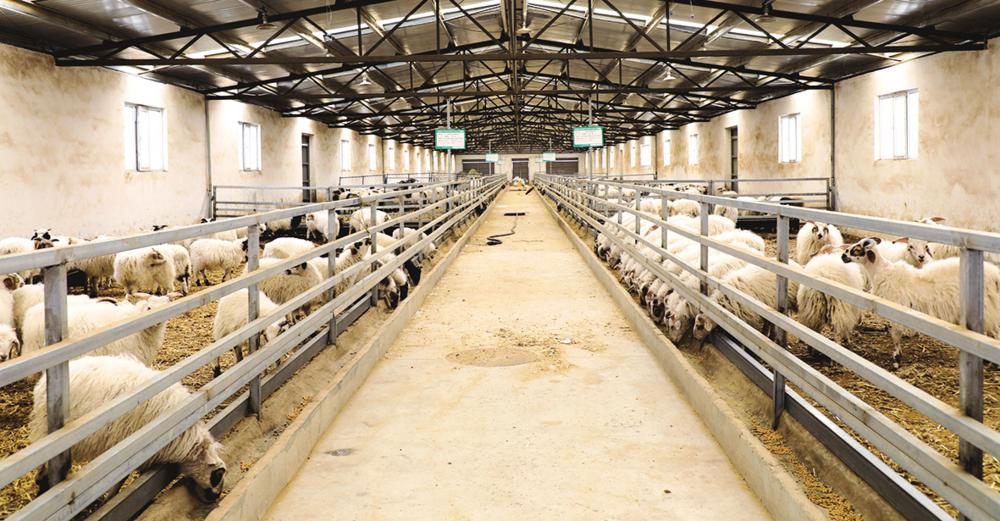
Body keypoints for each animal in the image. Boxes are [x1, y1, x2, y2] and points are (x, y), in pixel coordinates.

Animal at [30, 355, 226, 501]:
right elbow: (123, 479)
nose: (215, 498)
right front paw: (111, 497)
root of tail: (41, 384)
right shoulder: (133, 450)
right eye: (217, 476)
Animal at [841, 237, 1000, 368]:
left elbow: (896, 334)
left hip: (989, 308)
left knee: (995, 333)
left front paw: (897, 359)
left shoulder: (896, 309)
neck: (882, 271)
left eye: (856, 249)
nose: (843, 256)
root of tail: (996, 275)